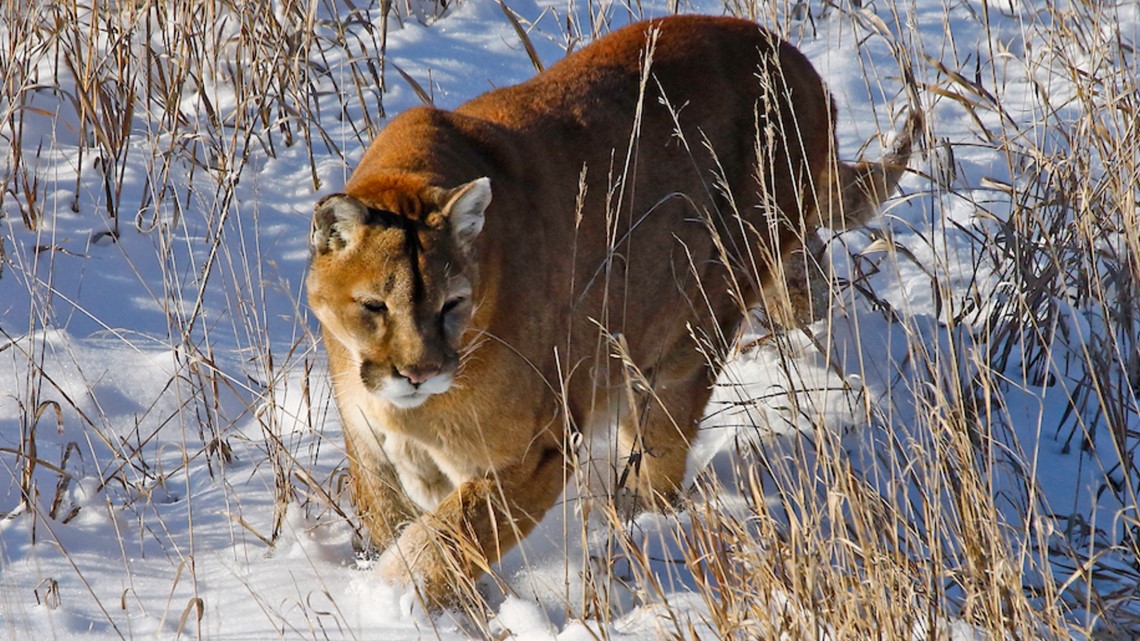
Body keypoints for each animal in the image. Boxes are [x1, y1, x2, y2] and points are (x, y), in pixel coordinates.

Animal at [306, 15, 919, 607]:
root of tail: (793, 58)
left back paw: (639, 524)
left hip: (692, 329)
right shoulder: (371, 450)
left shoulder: (536, 450)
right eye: (373, 306)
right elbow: (401, 526)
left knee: (662, 447)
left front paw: (387, 599)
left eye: (452, 303)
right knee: (805, 287)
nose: (419, 374)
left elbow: (444, 541)